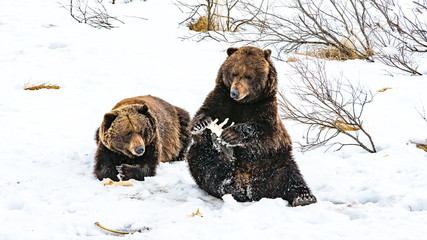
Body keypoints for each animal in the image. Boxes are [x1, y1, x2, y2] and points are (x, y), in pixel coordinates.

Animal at [188, 46, 318, 206]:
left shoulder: (265, 108)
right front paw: (200, 125)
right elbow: (204, 114)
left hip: (275, 163)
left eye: (249, 76)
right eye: (234, 73)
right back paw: (227, 184)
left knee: (290, 175)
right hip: (216, 164)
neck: (243, 103)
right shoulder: (221, 99)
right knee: (203, 162)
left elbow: (266, 134)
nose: (234, 92)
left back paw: (304, 197)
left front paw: (231, 134)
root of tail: (250, 188)